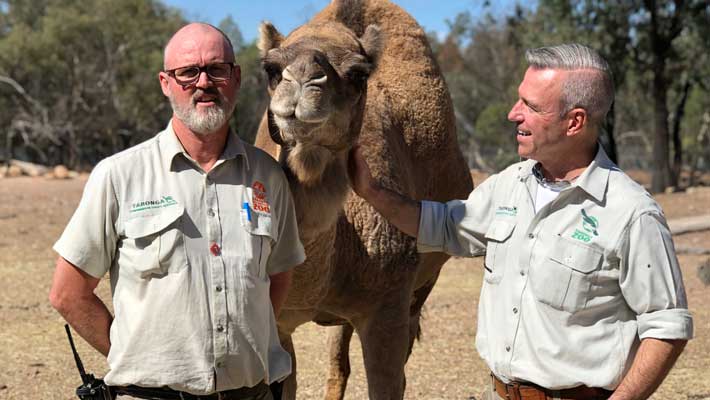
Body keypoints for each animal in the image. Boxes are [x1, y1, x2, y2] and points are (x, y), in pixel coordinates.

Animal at [253, 1, 476, 398]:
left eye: (358, 75)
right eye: (271, 69)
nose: (303, 81)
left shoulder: (387, 305)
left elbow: (389, 380)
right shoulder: (277, 319)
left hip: (422, 286)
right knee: (337, 361)